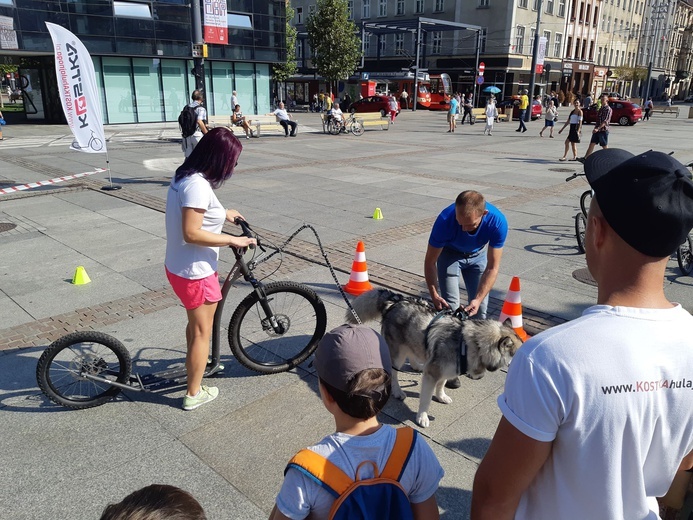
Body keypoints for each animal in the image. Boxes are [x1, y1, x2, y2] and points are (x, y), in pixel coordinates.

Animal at [348, 288, 520, 426]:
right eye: (520, 353)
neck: (470, 344)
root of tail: (396, 300)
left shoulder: (446, 370)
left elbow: (441, 384)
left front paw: (441, 396)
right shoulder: (432, 374)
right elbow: (425, 400)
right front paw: (422, 417)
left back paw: (417, 365)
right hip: (397, 355)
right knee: (394, 373)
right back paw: (397, 391)